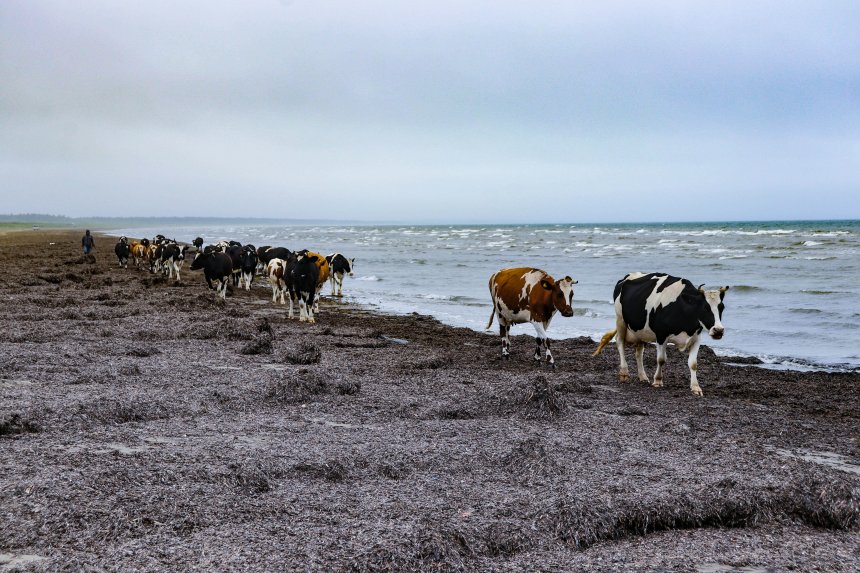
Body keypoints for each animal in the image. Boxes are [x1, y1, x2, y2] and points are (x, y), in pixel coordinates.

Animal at [592, 272, 729, 397]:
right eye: (704, 307)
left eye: (721, 307)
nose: (718, 330)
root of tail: (628, 277)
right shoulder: (661, 335)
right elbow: (661, 359)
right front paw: (658, 380)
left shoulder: (696, 337)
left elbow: (693, 363)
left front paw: (696, 387)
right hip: (620, 319)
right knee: (620, 342)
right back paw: (624, 372)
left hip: (641, 330)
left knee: (639, 352)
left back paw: (643, 376)